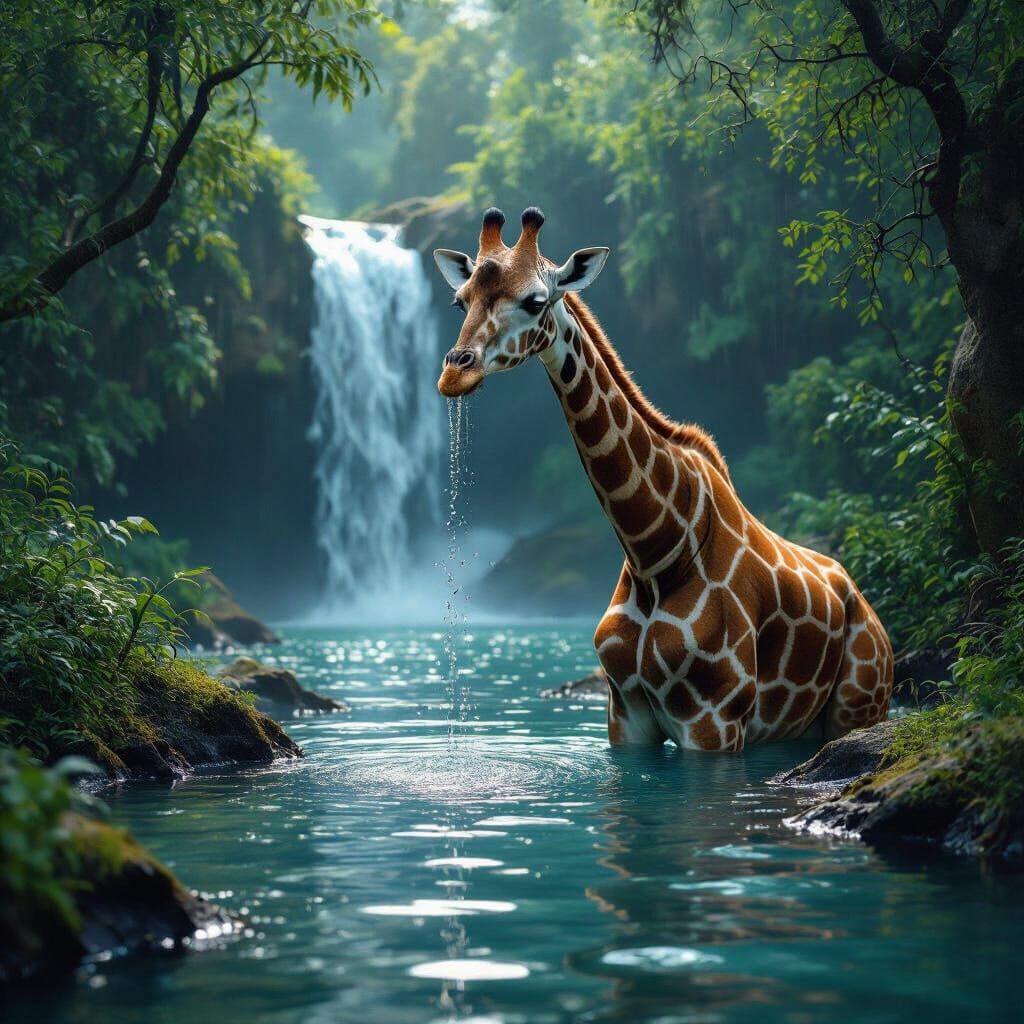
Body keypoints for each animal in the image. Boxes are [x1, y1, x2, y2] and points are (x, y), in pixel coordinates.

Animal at [433, 207, 893, 751]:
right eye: (460, 300)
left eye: (535, 301)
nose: (454, 374)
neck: (654, 551)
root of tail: (869, 609)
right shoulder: (625, 713)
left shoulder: (716, 719)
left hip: (858, 706)